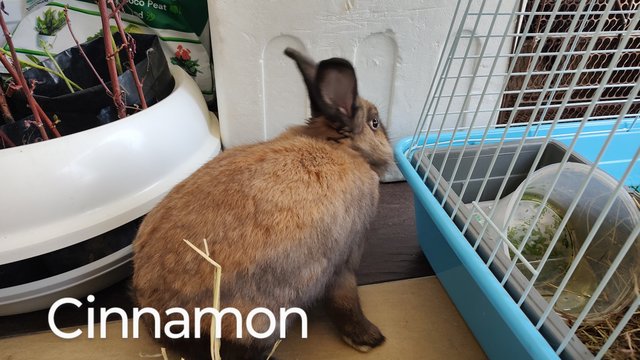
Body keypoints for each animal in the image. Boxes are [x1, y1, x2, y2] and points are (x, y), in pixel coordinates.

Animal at [132, 48, 392, 360]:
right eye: (375, 123)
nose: (388, 134)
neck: (339, 146)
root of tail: (159, 314)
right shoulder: (345, 258)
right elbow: (345, 300)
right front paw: (369, 338)